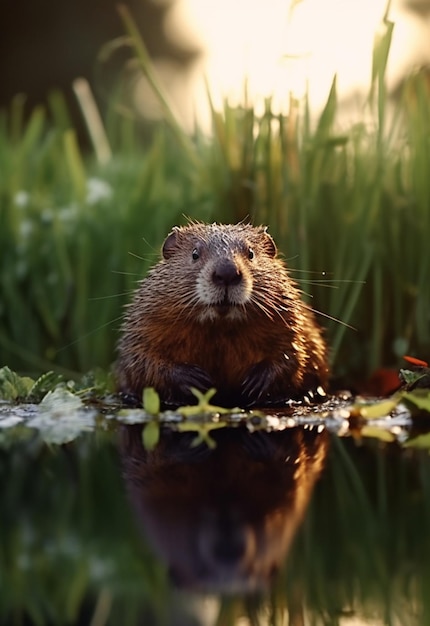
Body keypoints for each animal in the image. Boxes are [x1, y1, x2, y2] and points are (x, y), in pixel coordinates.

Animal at [116, 222, 328, 408]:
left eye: (251, 253)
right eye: (195, 253)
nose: (227, 272)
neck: (220, 326)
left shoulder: (290, 320)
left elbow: (293, 354)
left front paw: (255, 382)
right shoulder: (145, 322)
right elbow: (142, 361)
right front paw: (196, 380)